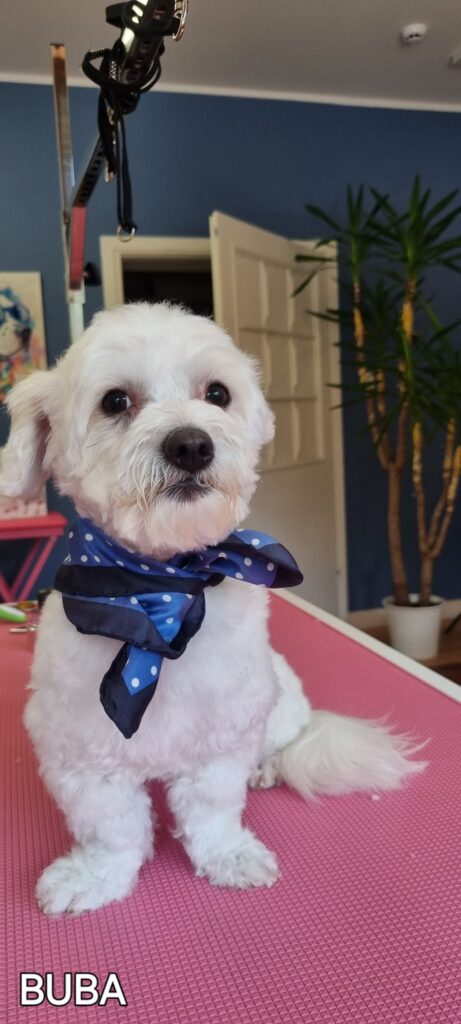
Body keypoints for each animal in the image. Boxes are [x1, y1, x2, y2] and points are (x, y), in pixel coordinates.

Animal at [0, 302, 424, 914]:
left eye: (217, 394)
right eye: (115, 401)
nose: (192, 444)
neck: (162, 589)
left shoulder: (222, 740)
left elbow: (213, 814)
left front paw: (230, 857)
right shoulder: (83, 755)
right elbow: (112, 830)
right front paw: (95, 878)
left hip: (278, 705)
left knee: (282, 742)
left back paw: (266, 769)